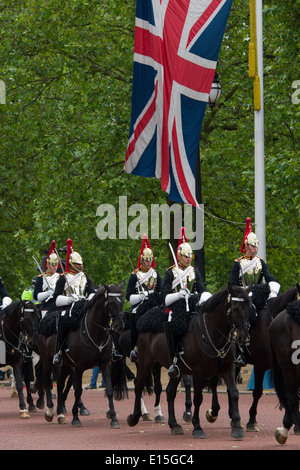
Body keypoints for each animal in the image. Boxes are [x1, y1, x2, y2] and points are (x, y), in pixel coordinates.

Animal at [37, 282, 126, 430]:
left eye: (123, 301)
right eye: (111, 302)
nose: (119, 326)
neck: (93, 332)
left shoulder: (105, 364)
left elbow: (109, 390)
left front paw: (114, 418)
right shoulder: (79, 367)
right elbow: (78, 390)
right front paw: (75, 417)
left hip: (65, 365)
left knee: (60, 384)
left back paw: (60, 413)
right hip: (47, 359)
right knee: (46, 380)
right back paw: (49, 411)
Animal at [126, 282, 251, 440]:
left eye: (249, 307)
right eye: (234, 308)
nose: (244, 338)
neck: (212, 335)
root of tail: (144, 319)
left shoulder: (228, 369)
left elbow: (234, 393)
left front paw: (237, 426)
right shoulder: (199, 372)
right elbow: (198, 398)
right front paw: (197, 427)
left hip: (175, 370)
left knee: (170, 392)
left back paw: (174, 425)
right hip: (145, 362)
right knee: (138, 386)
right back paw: (135, 417)